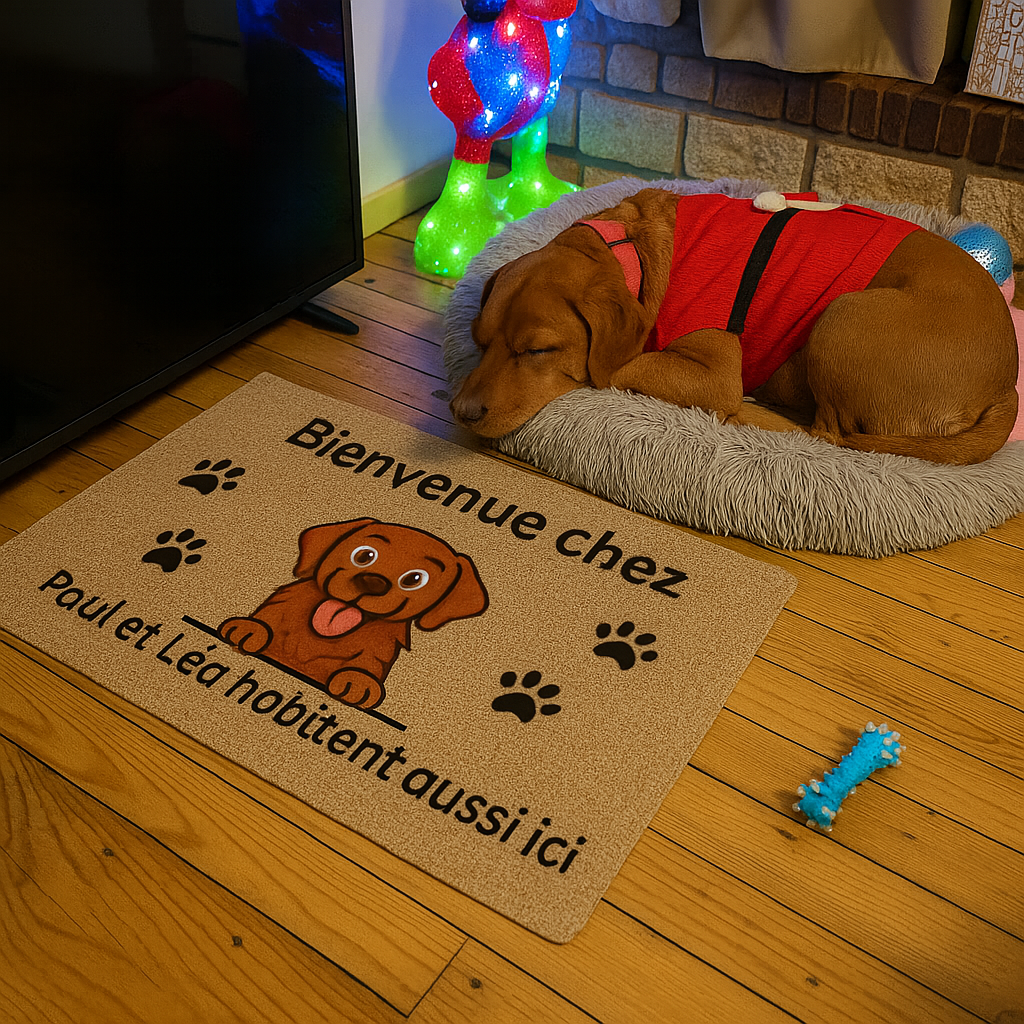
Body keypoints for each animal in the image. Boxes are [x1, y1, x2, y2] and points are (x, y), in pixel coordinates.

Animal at [219, 518, 488, 709]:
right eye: (364, 555)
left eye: (414, 579)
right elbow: (269, 618)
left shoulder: (377, 651)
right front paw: (250, 628)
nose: (372, 582)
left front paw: (359, 681)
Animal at [451, 187, 1020, 465]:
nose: (461, 411)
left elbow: (618, 369)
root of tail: (1006, 388)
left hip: (843, 318)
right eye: (480, 341)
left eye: (537, 351)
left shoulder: (712, 371)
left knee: (828, 433)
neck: (626, 250)